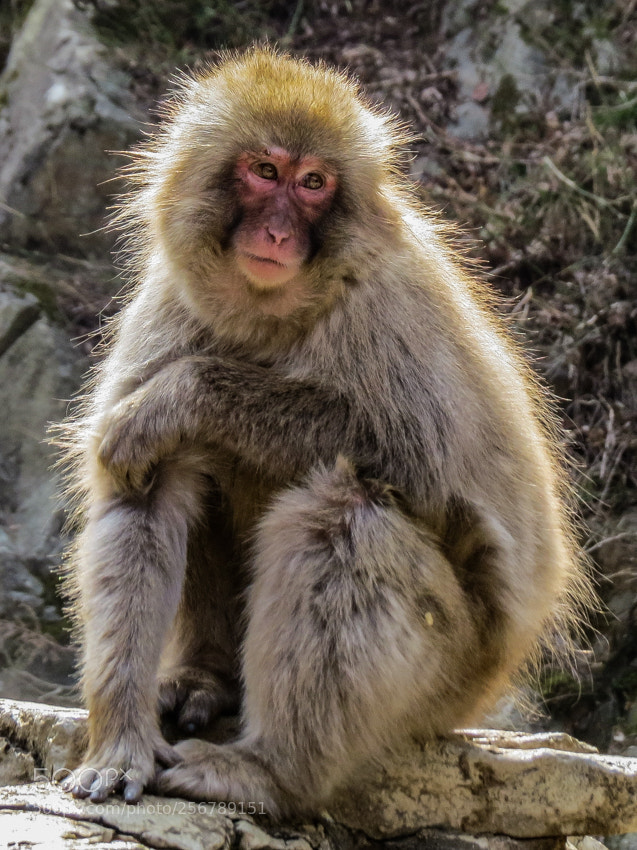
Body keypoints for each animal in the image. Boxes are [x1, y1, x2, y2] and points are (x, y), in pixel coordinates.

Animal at [56, 46, 590, 817]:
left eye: (314, 183)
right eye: (265, 171)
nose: (279, 232)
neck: (272, 311)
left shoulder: (388, 307)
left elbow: (417, 463)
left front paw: (180, 397)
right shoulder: (172, 303)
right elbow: (143, 492)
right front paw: (117, 742)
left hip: (448, 681)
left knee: (347, 513)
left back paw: (270, 771)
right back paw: (206, 680)